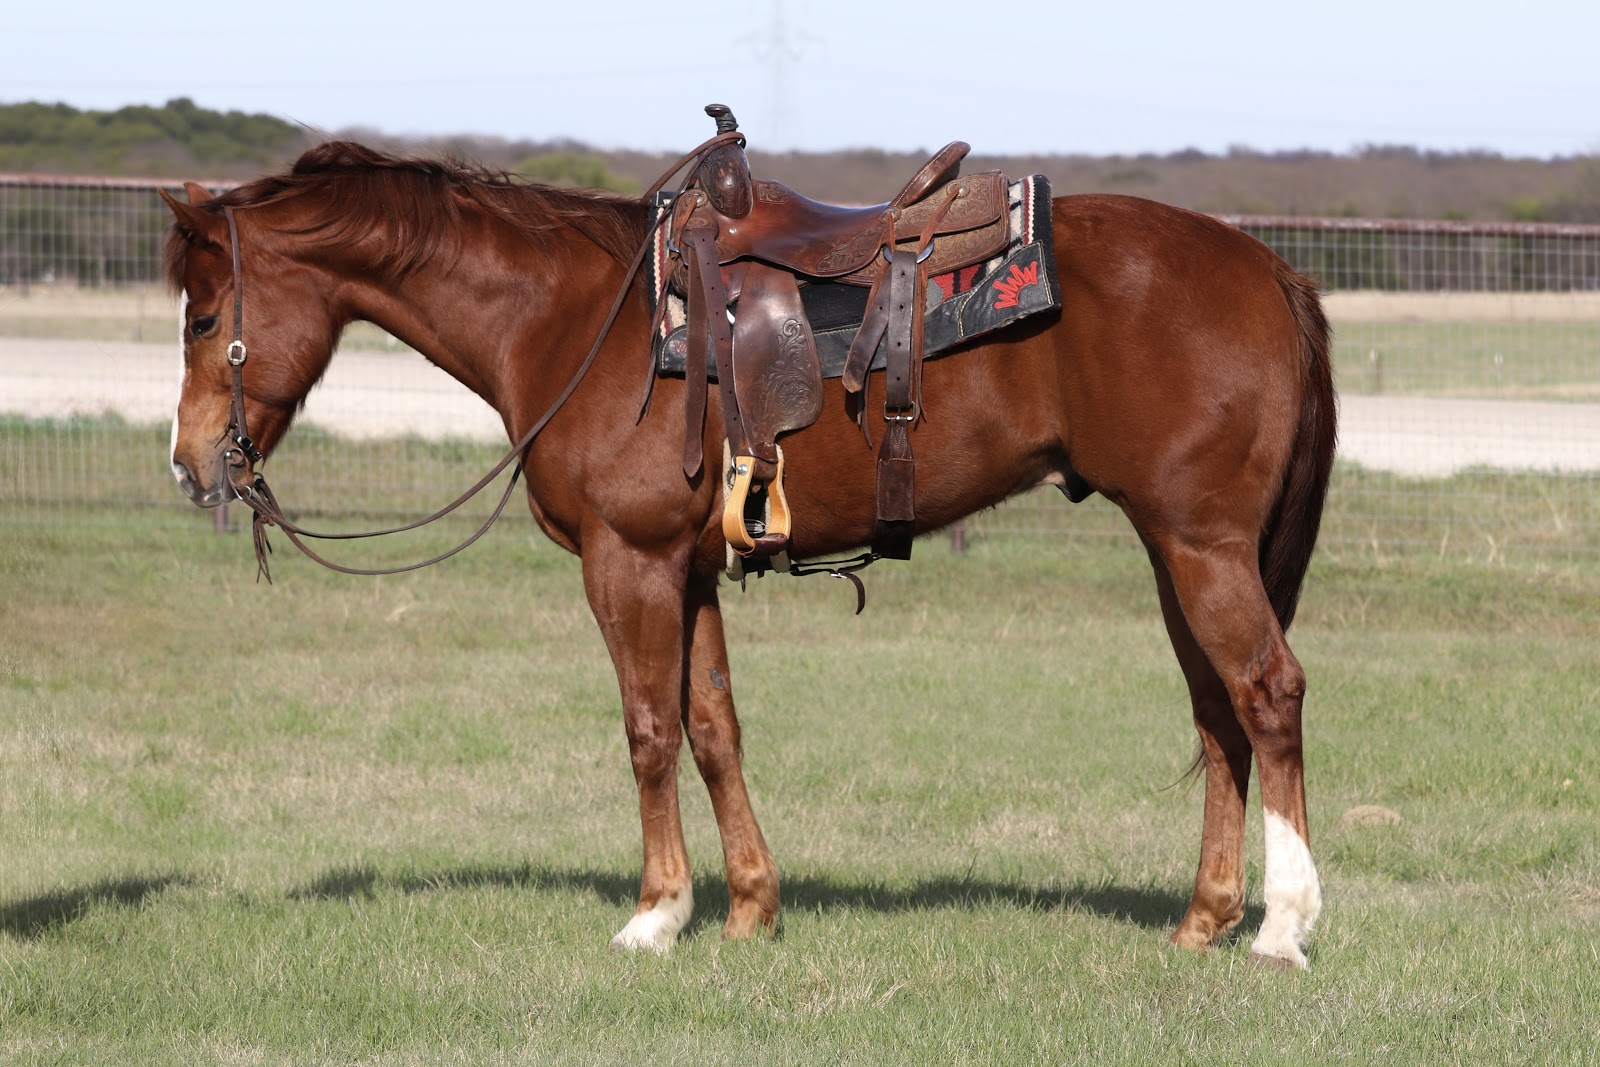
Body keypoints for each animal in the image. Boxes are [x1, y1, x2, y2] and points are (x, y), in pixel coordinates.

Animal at [161, 138, 1336, 968]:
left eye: (204, 317)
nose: (189, 463)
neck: (575, 318)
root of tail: (1268, 266)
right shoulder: (685, 571)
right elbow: (714, 727)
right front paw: (751, 906)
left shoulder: (625, 563)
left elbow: (648, 731)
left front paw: (656, 912)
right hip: (1177, 554)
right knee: (1217, 712)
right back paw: (1204, 917)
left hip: (1202, 548)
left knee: (1269, 693)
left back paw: (1283, 924)